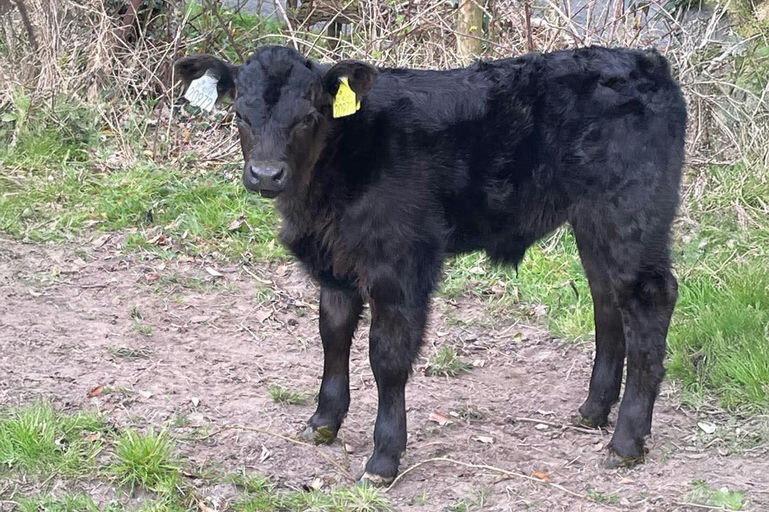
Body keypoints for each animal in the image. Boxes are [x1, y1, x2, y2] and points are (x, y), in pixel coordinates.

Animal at [175, 44, 686, 484]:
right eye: (240, 115)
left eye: (307, 117)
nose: (265, 175)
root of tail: (647, 62)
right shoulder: (336, 265)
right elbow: (332, 335)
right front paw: (323, 421)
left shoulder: (400, 263)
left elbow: (386, 356)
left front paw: (383, 458)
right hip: (593, 222)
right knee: (606, 300)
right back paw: (593, 411)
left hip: (631, 214)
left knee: (649, 299)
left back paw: (626, 441)